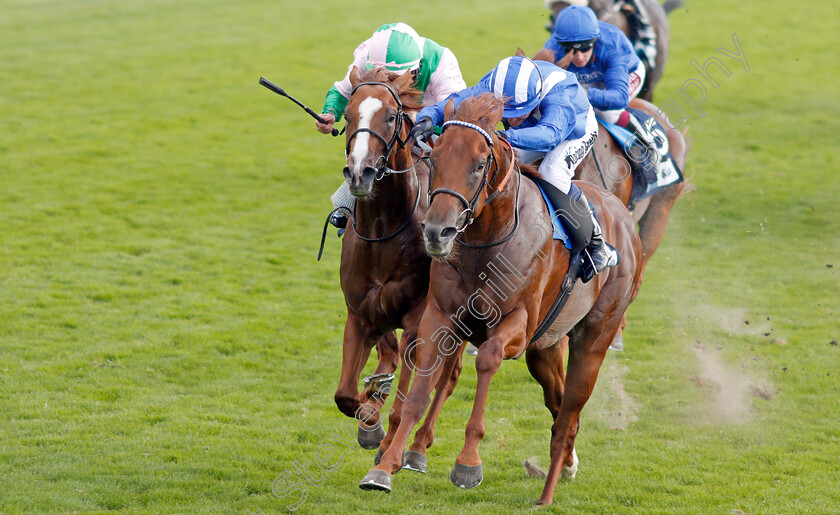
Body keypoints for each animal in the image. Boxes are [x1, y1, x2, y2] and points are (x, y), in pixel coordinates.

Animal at [334, 67, 466, 460]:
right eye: (348, 116)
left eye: (392, 116)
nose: (359, 173)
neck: (384, 233)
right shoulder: (359, 315)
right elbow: (345, 395)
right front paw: (370, 420)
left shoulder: (416, 323)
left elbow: (406, 398)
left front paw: (385, 438)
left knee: (448, 376)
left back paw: (419, 446)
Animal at [360, 93, 644, 508]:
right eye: (435, 158)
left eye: (479, 165)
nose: (437, 232)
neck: (487, 238)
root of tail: (624, 219)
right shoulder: (440, 317)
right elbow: (418, 394)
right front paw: (385, 466)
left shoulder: (518, 325)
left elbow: (488, 359)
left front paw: (467, 463)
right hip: (545, 347)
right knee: (559, 403)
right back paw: (568, 463)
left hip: (594, 338)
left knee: (569, 411)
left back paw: (547, 494)